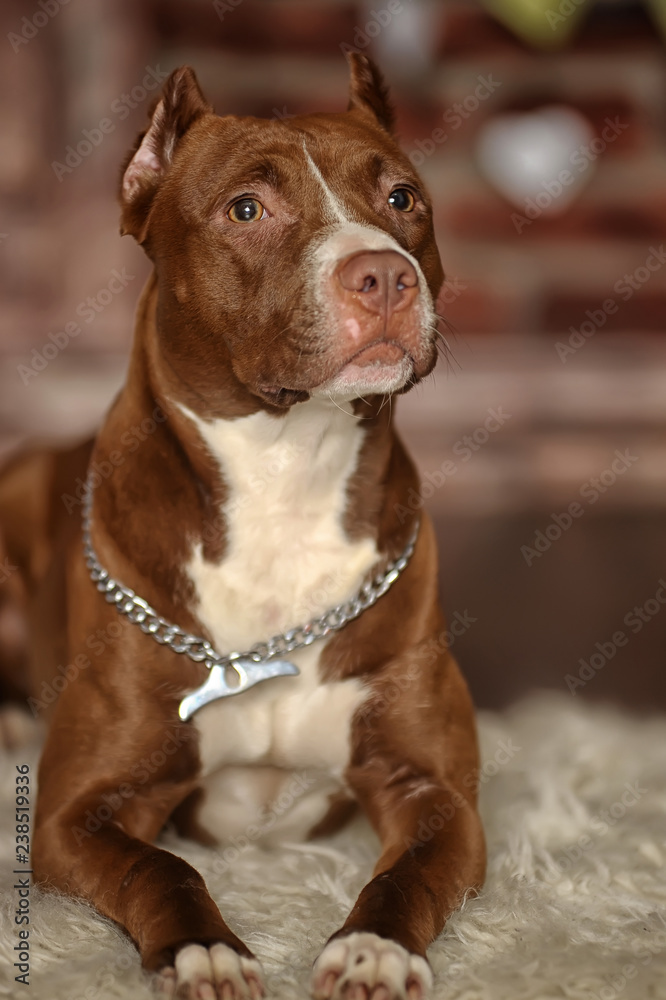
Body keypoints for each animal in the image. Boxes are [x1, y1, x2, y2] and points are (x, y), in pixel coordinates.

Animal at [0, 58, 482, 1000]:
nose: (384, 275)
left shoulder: (436, 790)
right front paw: (206, 949)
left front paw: (373, 948)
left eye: (402, 197)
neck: (283, 482)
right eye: (248, 210)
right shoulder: (78, 812)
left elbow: (407, 871)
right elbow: (161, 866)